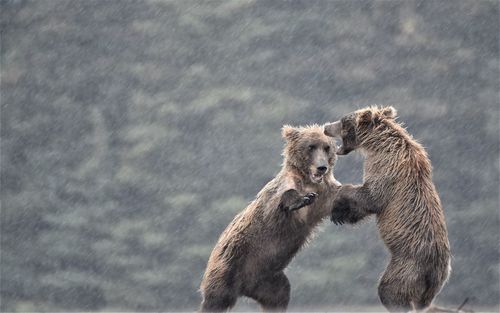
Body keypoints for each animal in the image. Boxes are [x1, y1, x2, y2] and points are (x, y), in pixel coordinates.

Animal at [199, 123, 340, 310]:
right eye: (311, 147)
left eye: (327, 147)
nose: (321, 167)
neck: (309, 181)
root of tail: (243, 288)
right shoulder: (279, 194)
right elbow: (283, 198)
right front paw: (303, 199)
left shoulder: (326, 195)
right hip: (226, 267)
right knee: (215, 300)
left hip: (269, 279)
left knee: (279, 295)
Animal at [322, 106, 452, 310]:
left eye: (342, 121)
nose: (326, 127)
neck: (377, 145)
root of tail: (436, 269)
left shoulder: (387, 169)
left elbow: (371, 196)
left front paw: (338, 208)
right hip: (432, 283)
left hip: (408, 266)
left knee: (390, 290)